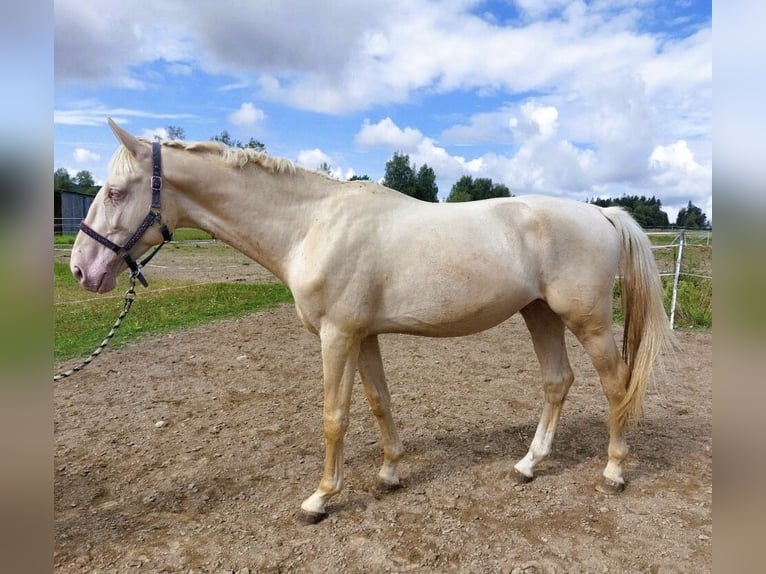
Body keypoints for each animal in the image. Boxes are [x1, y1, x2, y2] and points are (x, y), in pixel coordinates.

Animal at [70, 119, 674, 523]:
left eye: (116, 191)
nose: (82, 268)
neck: (313, 224)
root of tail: (601, 213)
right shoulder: (363, 336)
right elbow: (379, 401)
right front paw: (389, 475)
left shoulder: (337, 337)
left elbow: (334, 416)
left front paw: (320, 498)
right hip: (539, 314)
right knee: (557, 382)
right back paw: (527, 465)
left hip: (586, 320)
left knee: (616, 385)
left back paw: (614, 471)